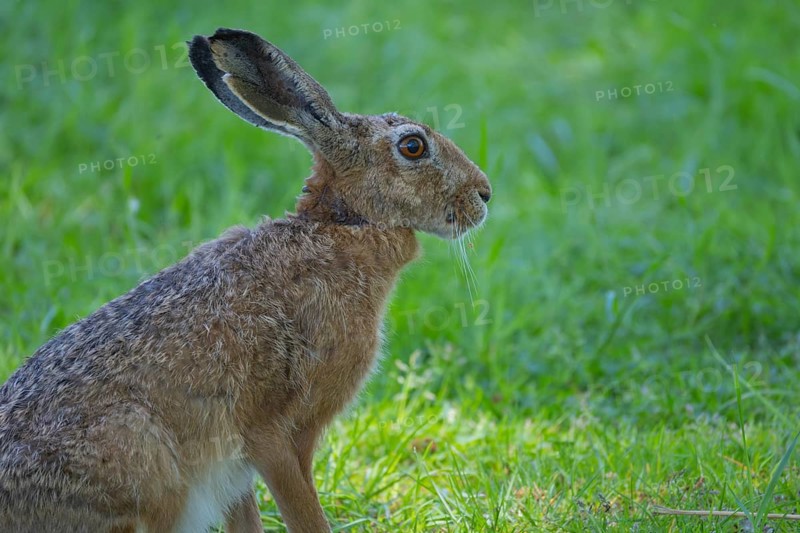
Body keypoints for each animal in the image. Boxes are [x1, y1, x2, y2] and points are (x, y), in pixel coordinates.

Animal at [0, 28, 491, 533]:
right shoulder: (276, 435)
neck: (341, 224)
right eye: (413, 147)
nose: (484, 194)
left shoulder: (235, 471)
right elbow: (303, 511)